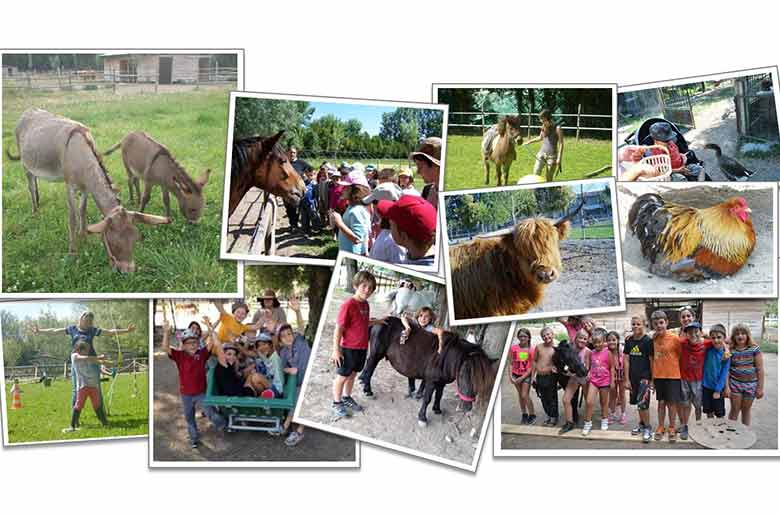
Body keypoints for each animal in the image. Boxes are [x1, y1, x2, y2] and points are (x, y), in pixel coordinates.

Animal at [358, 318, 494, 428]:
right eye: (461, 374)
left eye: (481, 380)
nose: (467, 408)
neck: (446, 357)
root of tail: (380, 320)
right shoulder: (431, 381)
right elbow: (427, 398)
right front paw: (422, 418)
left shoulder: (442, 382)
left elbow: (439, 395)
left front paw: (437, 409)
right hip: (376, 354)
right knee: (370, 369)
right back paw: (368, 390)